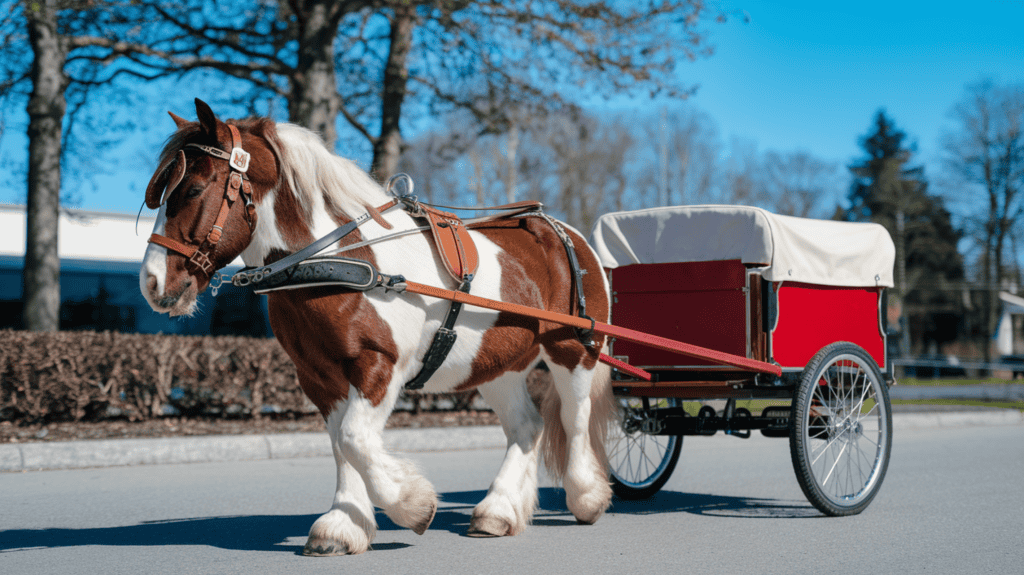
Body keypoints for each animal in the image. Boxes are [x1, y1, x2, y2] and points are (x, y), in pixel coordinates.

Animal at [139, 98, 615, 555]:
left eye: (194, 188)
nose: (152, 282)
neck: (340, 262)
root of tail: (562, 231)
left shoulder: (379, 366)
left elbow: (354, 438)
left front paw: (412, 505)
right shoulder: (319, 376)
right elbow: (341, 445)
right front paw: (343, 526)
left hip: (574, 348)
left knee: (573, 417)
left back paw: (586, 496)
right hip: (498, 363)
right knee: (527, 426)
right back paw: (498, 511)